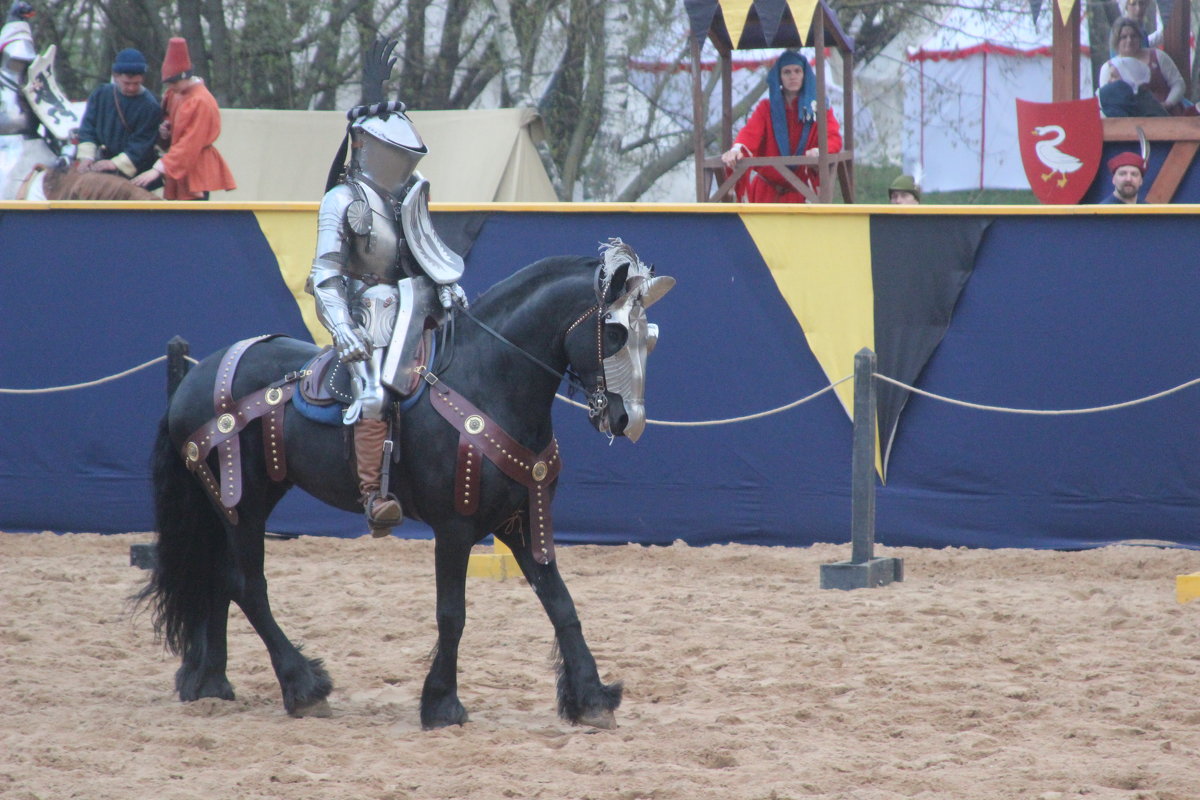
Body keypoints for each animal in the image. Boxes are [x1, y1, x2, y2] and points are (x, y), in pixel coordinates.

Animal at [138, 244, 676, 734]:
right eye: (615, 331)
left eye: (649, 337)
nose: (628, 421)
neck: (489, 379)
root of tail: (196, 376)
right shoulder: (455, 529)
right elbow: (452, 614)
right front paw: (441, 703)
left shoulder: (522, 524)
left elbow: (562, 605)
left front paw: (591, 698)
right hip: (242, 505)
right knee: (246, 586)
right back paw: (302, 686)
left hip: (237, 503)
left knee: (217, 579)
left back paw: (209, 681)